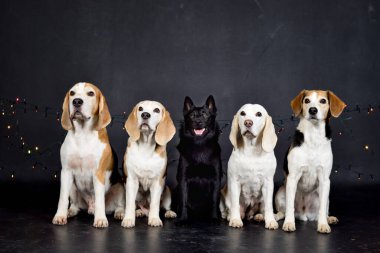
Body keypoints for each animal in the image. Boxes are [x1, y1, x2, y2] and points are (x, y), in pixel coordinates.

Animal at [52, 82, 124, 227]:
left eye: (91, 93)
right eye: (72, 93)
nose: (76, 101)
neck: (83, 134)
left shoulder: (98, 173)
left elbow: (100, 199)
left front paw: (100, 219)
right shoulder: (66, 172)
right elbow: (62, 198)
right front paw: (60, 215)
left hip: (120, 187)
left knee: (119, 205)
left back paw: (119, 213)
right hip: (72, 187)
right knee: (75, 205)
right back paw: (70, 211)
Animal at [121, 101, 177, 229]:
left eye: (156, 110)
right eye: (140, 108)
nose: (145, 115)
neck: (145, 146)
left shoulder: (157, 182)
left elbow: (155, 204)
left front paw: (154, 219)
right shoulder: (131, 180)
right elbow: (130, 203)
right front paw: (128, 219)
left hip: (167, 190)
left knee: (164, 207)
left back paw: (169, 212)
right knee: (136, 205)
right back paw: (139, 212)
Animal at [274, 89, 346, 233]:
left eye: (323, 101)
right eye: (306, 100)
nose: (312, 110)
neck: (313, 136)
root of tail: (304, 214)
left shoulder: (325, 179)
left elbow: (322, 209)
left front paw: (323, 224)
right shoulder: (293, 177)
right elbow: (289, 207)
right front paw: (289, 223)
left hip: (325, 196)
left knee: (322, 210)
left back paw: (328, 218)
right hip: (280, 192)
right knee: (282, 212)